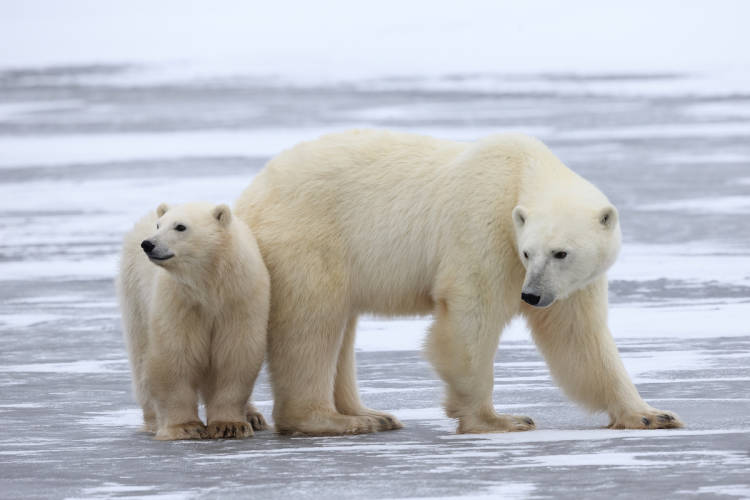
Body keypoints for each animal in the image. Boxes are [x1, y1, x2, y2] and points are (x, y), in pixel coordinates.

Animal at [236, 131, 688, 436]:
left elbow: (579, 338)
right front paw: (500, 419)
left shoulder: (572, 285)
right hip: (309, 237)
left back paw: (369, 413)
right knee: (313, 322)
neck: (521, 171)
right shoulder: (483, 228)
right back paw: (330, 420)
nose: (531, 295)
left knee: (339, 327)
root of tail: (249, 196)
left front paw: (652, 414)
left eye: (561, 253)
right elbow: (471, 317)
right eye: (529, 252)